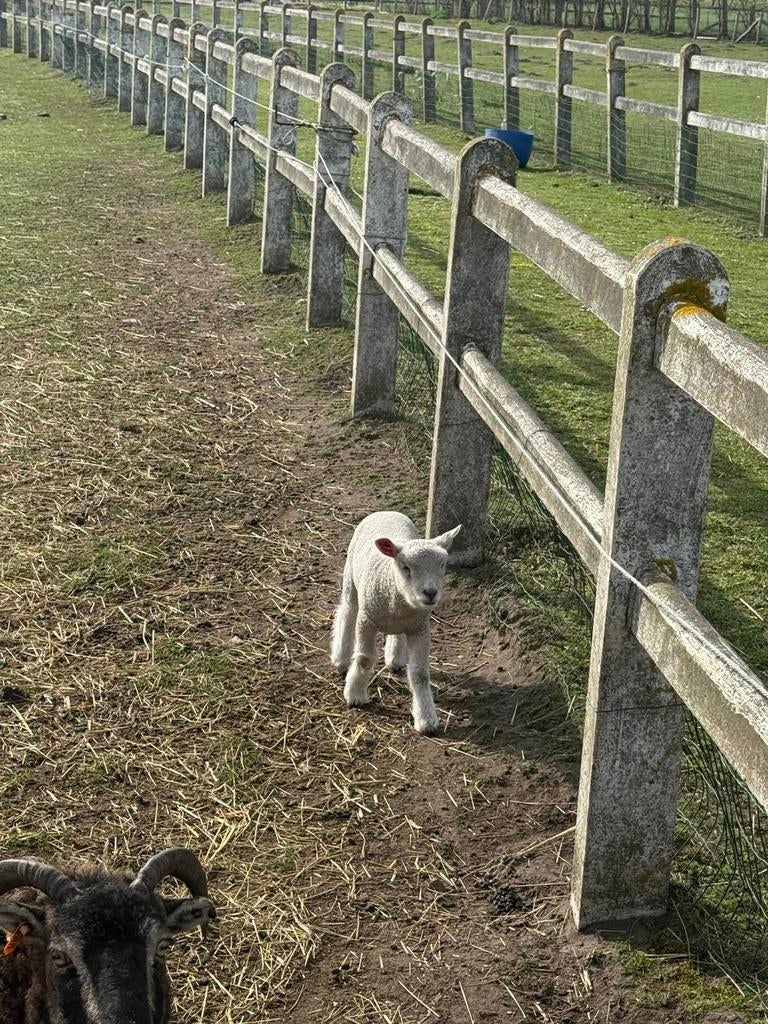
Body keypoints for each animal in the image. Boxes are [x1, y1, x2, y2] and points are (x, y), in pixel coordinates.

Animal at [331, 511, 461, 735]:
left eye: (443, 565)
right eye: (405, 567)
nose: (430, 593)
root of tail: (386, 512)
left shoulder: (420, 628)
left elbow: (420, 674)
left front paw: (426, 719)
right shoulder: (366, 620)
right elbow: (364, 659)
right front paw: (355, 695)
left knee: (396, 634)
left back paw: (395, 658)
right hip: (351, 579)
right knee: (348, 610)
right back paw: (341, 657)